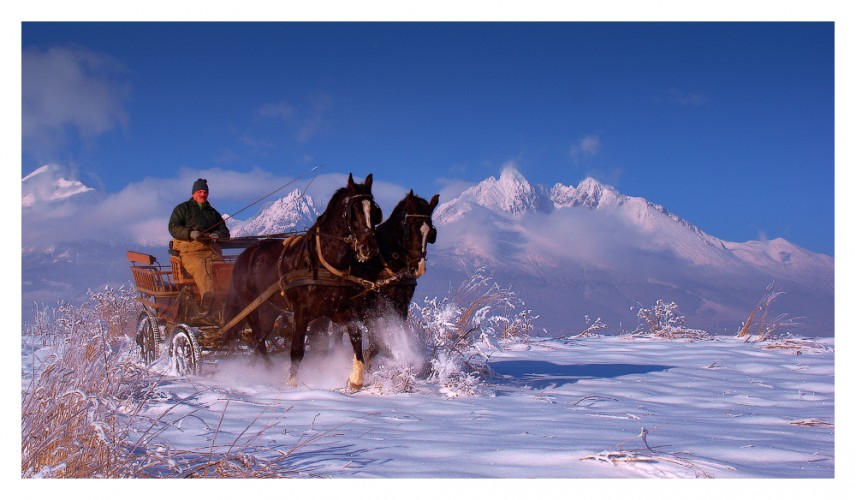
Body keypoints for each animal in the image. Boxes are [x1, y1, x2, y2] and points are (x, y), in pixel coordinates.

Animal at [221, 174, 382, 388]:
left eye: (374, 211)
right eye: (353, 211)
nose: (368, 247)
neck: (321, 261)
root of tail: (243, 256)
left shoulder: (336, 309)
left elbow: (356, 334)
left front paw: (356, 379)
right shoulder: (301, 311)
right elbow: (297, 349)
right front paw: (293, 383)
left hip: (269, 311)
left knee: (260, 337)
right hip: (251, 307)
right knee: (257, 338)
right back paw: (267, 371)